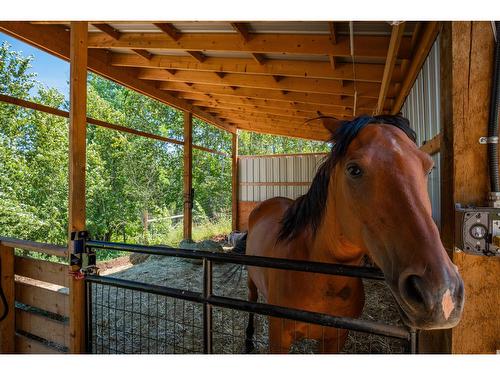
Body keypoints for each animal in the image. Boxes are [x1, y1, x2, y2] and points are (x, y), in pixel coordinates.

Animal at [242, 115, 464, 356]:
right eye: (354, 170)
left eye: (428, 168)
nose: (443, 295)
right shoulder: (279, 338)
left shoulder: (335, 339)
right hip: (251, 282)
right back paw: (248, 340)